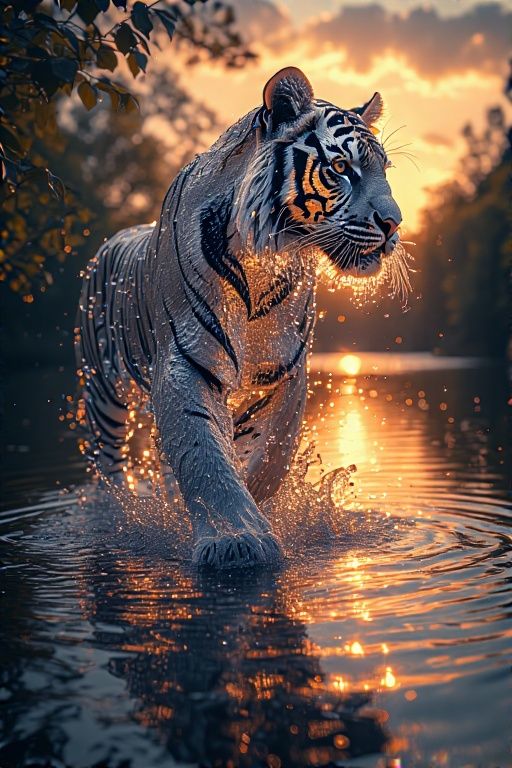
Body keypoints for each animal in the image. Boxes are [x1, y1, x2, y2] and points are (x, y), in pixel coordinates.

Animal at [76, 67, 405, 569]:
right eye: (341, 168)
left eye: (383, 169)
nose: (394, 224)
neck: (262, 263)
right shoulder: (185, 362)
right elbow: (204, 453)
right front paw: (237, 540)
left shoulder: (285, 369)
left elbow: (271, 449)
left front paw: (259, 501)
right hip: (102, 395)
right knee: (110, 468)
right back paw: (121, 508)